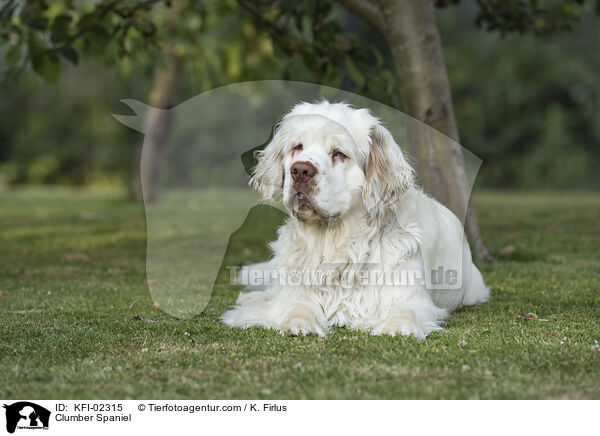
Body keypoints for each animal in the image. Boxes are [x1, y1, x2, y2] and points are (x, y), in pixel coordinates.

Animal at [220, 100, 488, 338]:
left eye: (340, 154)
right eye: (297, 147)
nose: (300, 171)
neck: (335, 243)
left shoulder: (410, 296)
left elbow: (406, 311)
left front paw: (397, 326)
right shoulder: (295, 291)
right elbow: (295, 305)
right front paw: (297, 322)